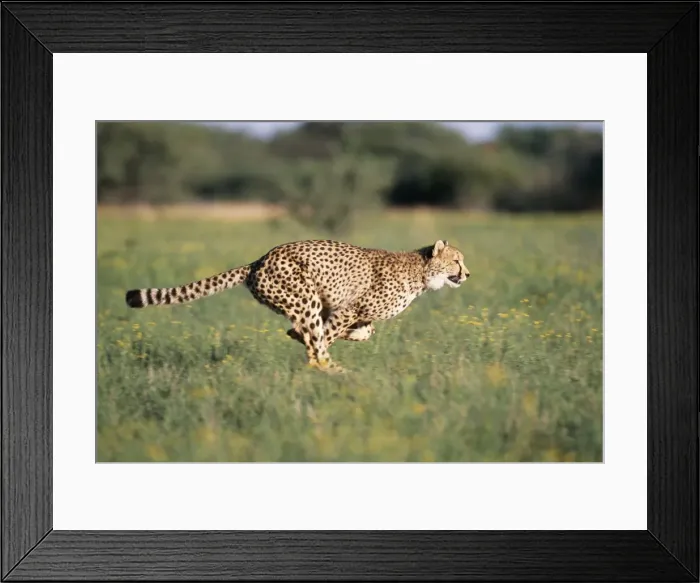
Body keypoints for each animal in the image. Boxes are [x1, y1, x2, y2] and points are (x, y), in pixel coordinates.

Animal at [125, 238, 470, 372]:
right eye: (457, 261)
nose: (467, 274)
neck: (422, 272)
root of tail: (258, 260)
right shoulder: (347, 308)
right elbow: (324, 336)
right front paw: (320, 353)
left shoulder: (348, 310)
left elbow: (364, 331)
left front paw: (354, 336)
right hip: (305, 297)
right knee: (313, 338)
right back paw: (335, 370)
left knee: (307, 331)